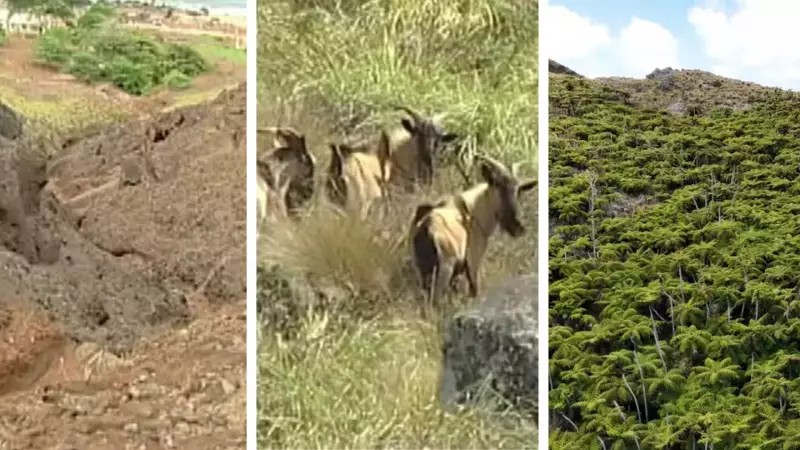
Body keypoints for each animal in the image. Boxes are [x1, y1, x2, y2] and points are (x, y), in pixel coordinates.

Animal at [409, 155, 536, 305]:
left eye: (518, 190)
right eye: (497, 184)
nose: (517, 227)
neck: (471, 211)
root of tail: (427, 227)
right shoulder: (473, 261)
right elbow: (474, 291)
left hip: (424, 271)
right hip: (445, 269)